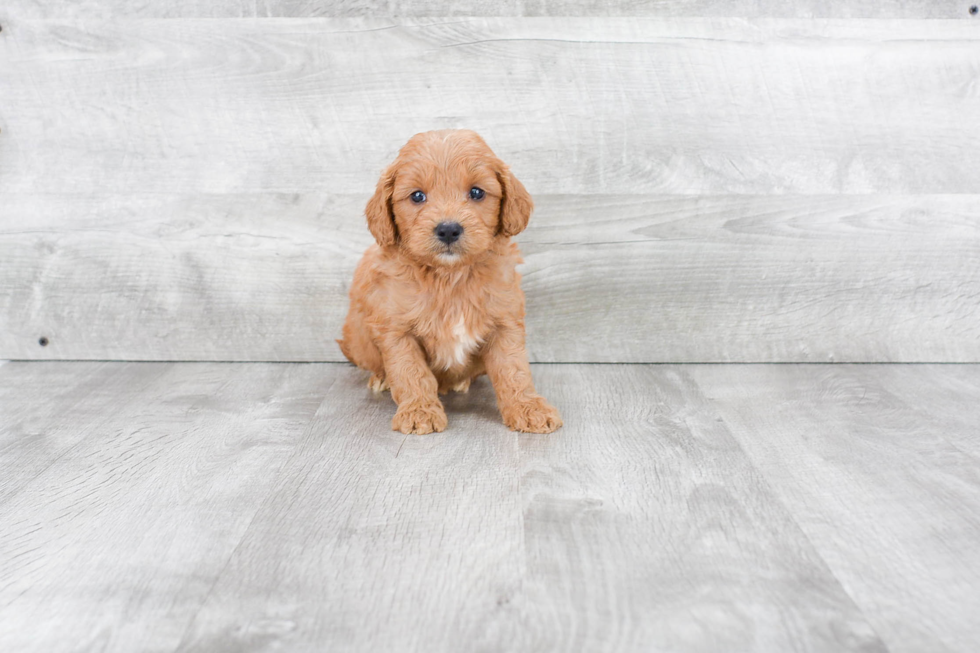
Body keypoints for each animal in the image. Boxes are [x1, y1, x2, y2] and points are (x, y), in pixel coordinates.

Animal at [338, 129, 564, 432]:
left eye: (477, 192)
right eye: (417, 196)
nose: (448, 229)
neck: (451, 277)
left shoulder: (505, 322)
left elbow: (514, 369)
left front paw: (529, 408)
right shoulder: (396, 330)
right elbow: (410, 371)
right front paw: (419, 411)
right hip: (356, 339)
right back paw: (381, 378)